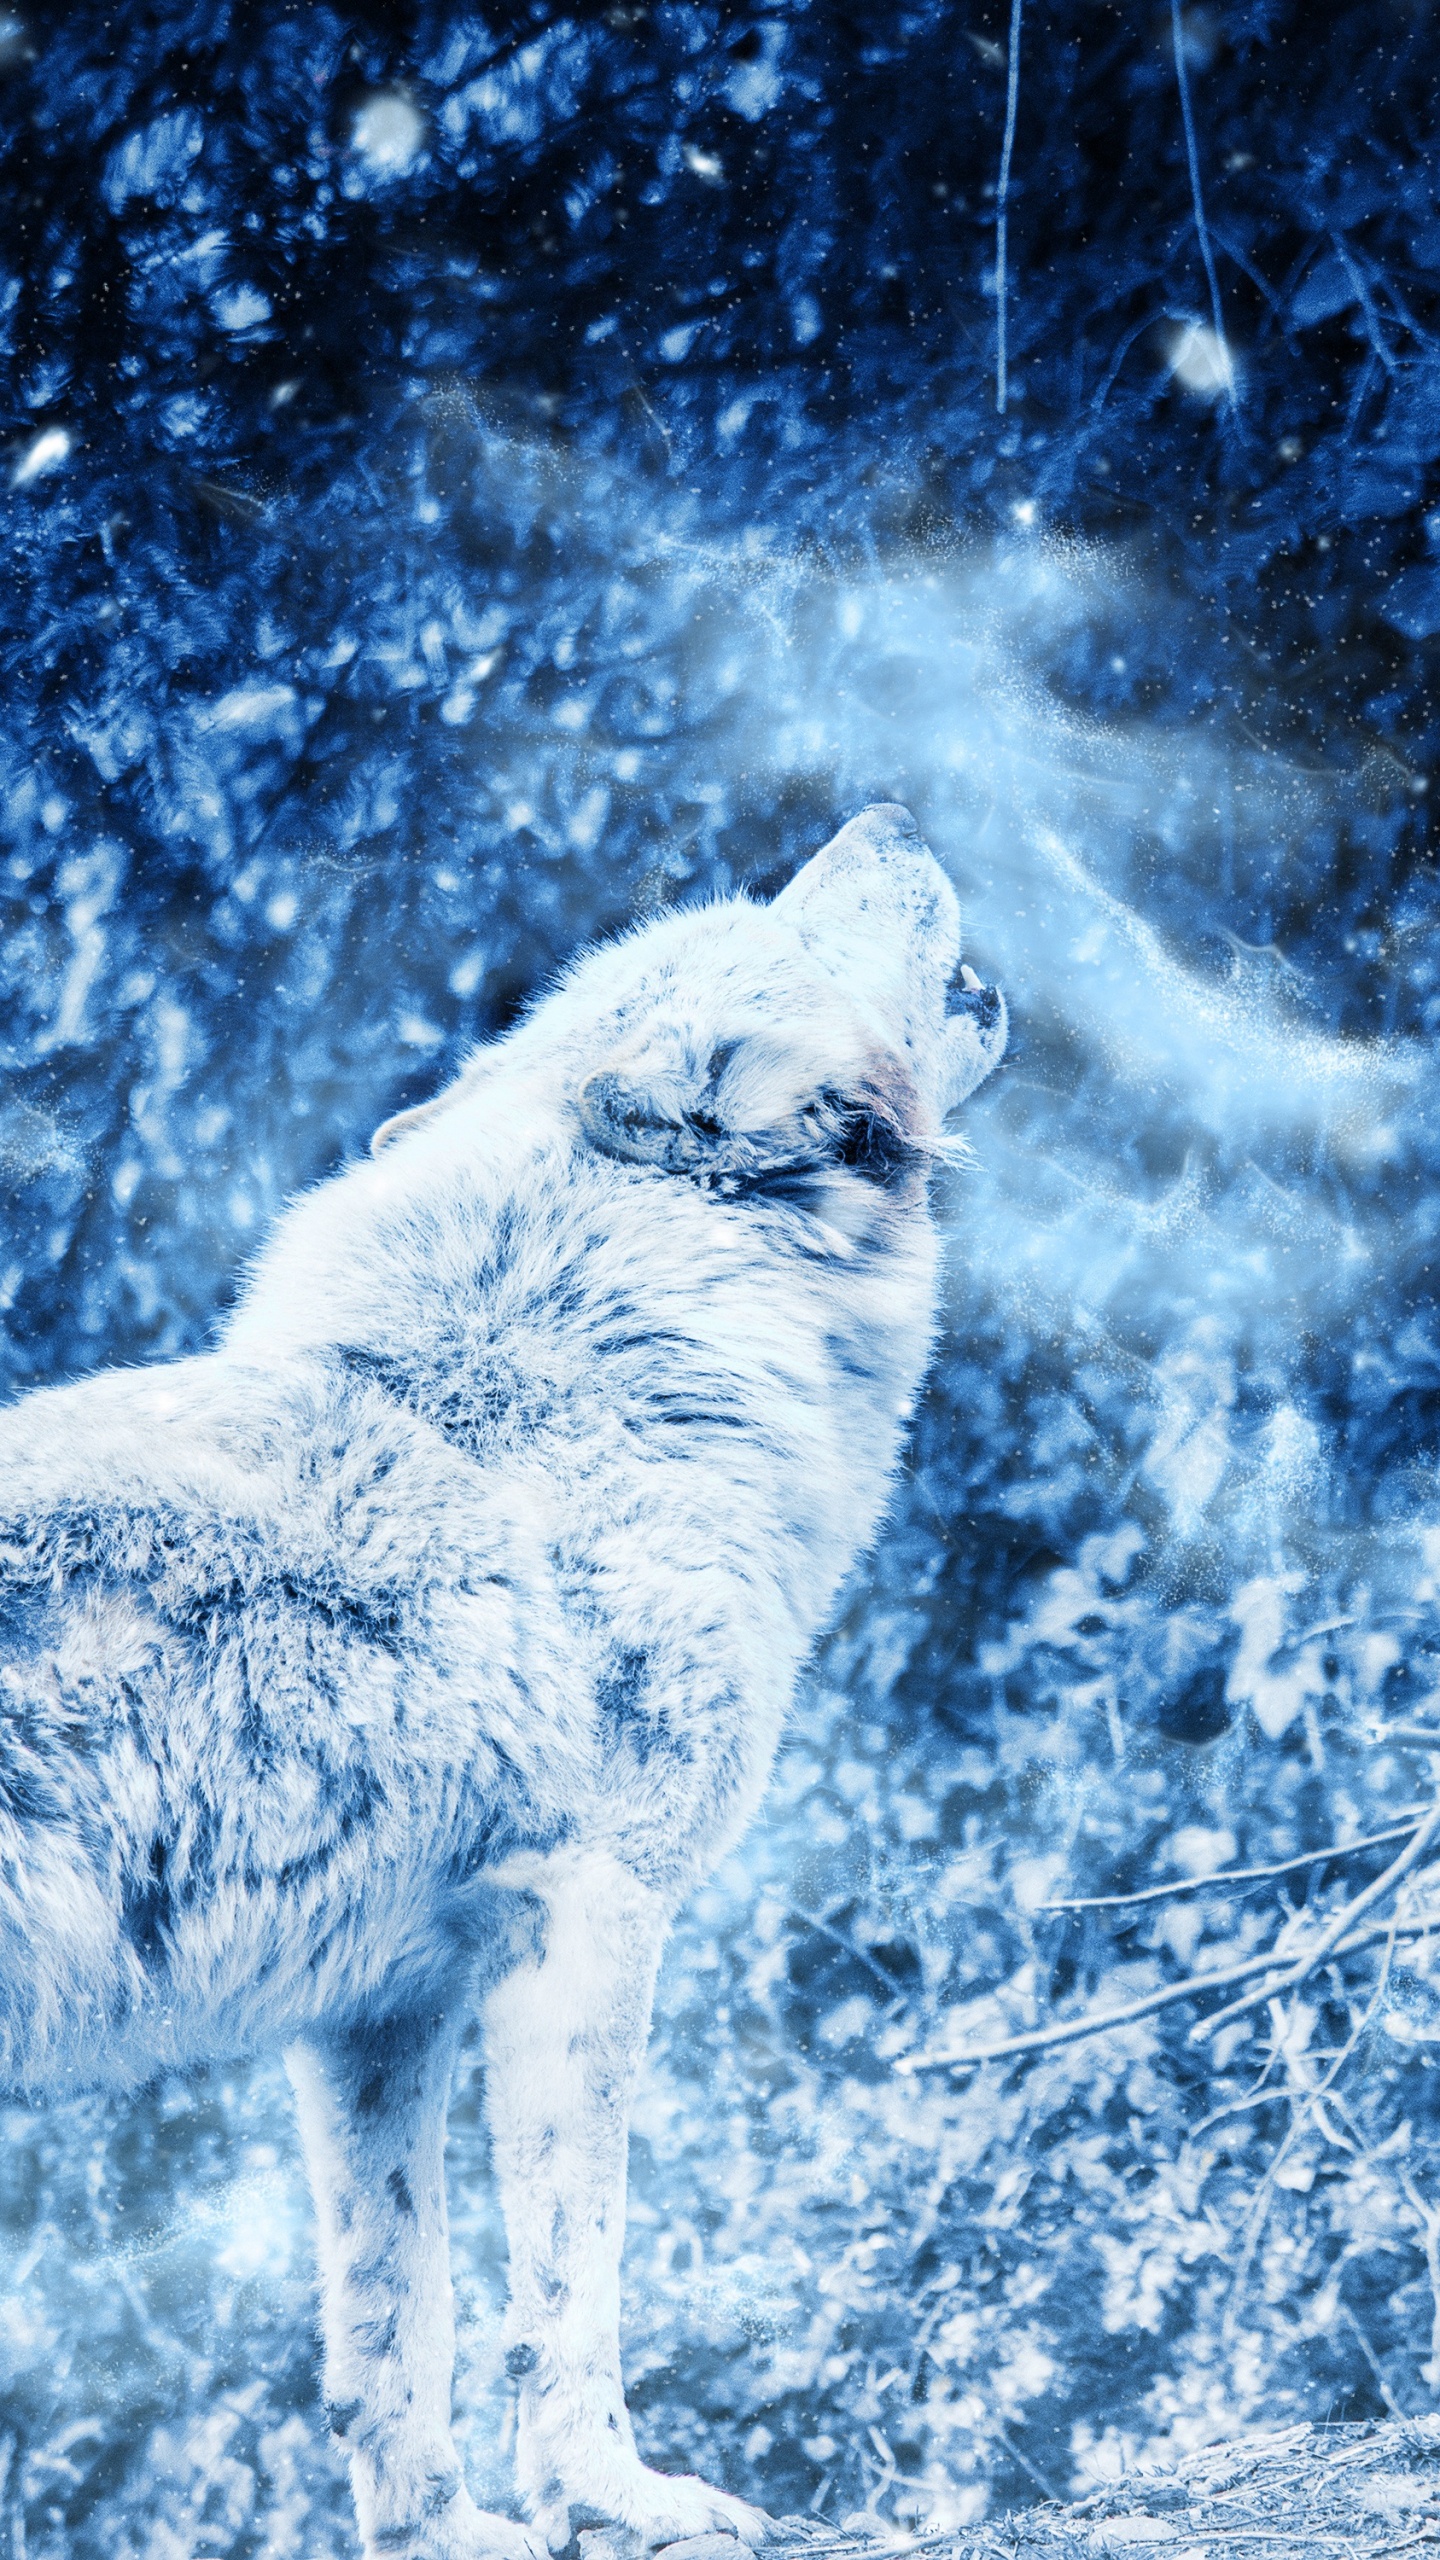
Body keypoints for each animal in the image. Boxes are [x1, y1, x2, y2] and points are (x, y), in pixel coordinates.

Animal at [0, 804, 1005, 2560]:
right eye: (785, 921)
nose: (886, 816)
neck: (603, 1386)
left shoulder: (375, 2015)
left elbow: (395, 2322)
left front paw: (447, 2534)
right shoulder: (594, 1916)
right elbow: (569, 2283)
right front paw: (622, 2498)